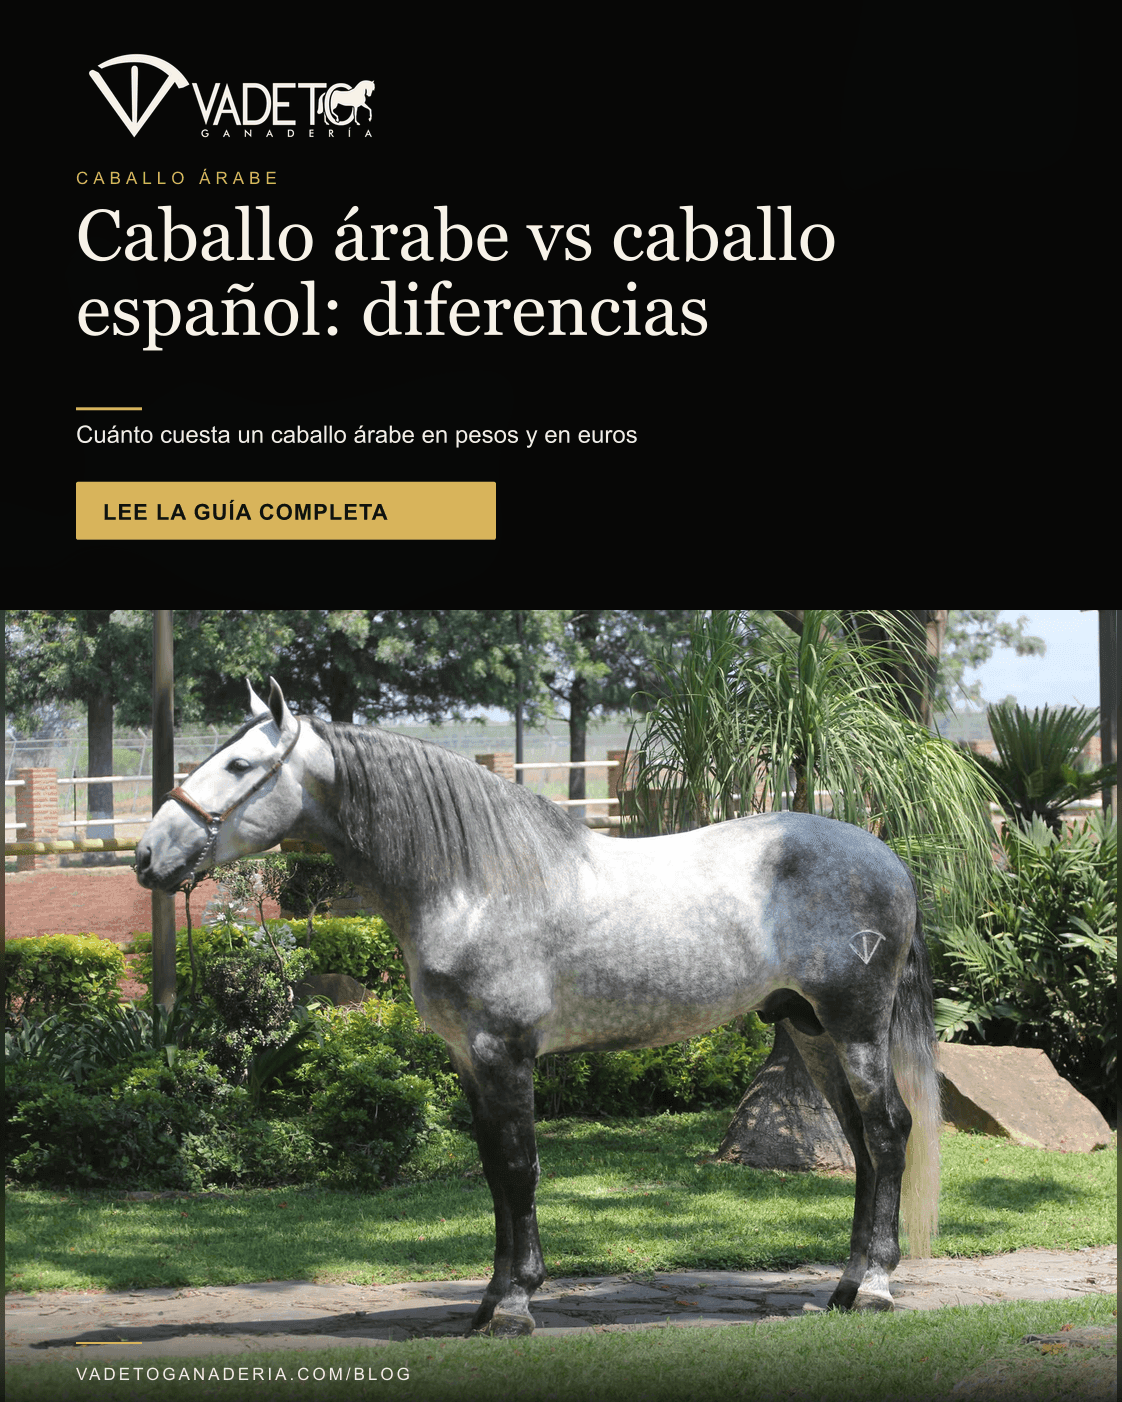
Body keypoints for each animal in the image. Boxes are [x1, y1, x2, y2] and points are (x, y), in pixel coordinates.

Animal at [136, 677, 941, 1335]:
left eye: (239, 767)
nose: (148, 856)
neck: (476, 885)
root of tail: (888, 859)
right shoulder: (468, 1057)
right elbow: (496, 1169)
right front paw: (494, 1298)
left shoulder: (505, 1053)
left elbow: (520, 1167)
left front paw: (515, 1306)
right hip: (811, 1030)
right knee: (862, 1142)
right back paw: (845, 1285)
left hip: (855, 1027)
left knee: (888, 1132)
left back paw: (873, 1287)